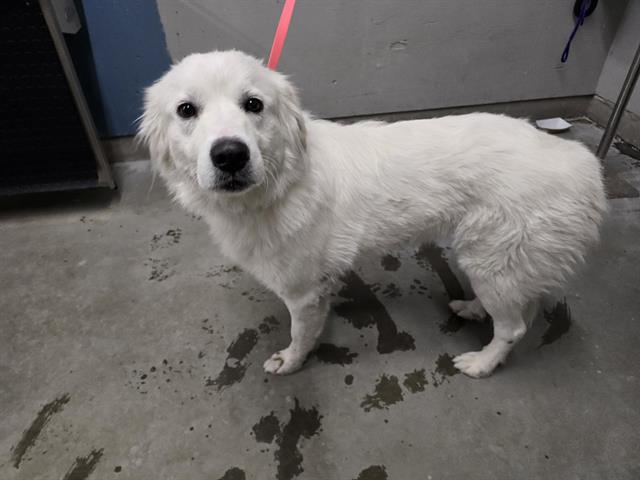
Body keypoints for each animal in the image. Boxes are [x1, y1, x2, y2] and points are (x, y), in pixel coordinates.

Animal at [139, 50, 606, 378]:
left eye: (253, 104)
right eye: (186, 110)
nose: (230, 155)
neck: (281, 184)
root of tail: (581, 161)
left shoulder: (300, 291)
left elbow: (299, 333)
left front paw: (292, 362)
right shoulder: (317, 286)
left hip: (492, 262)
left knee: (513, 328)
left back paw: (482, 363)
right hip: (508, 265)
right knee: (524, 308)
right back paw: (475, 311)